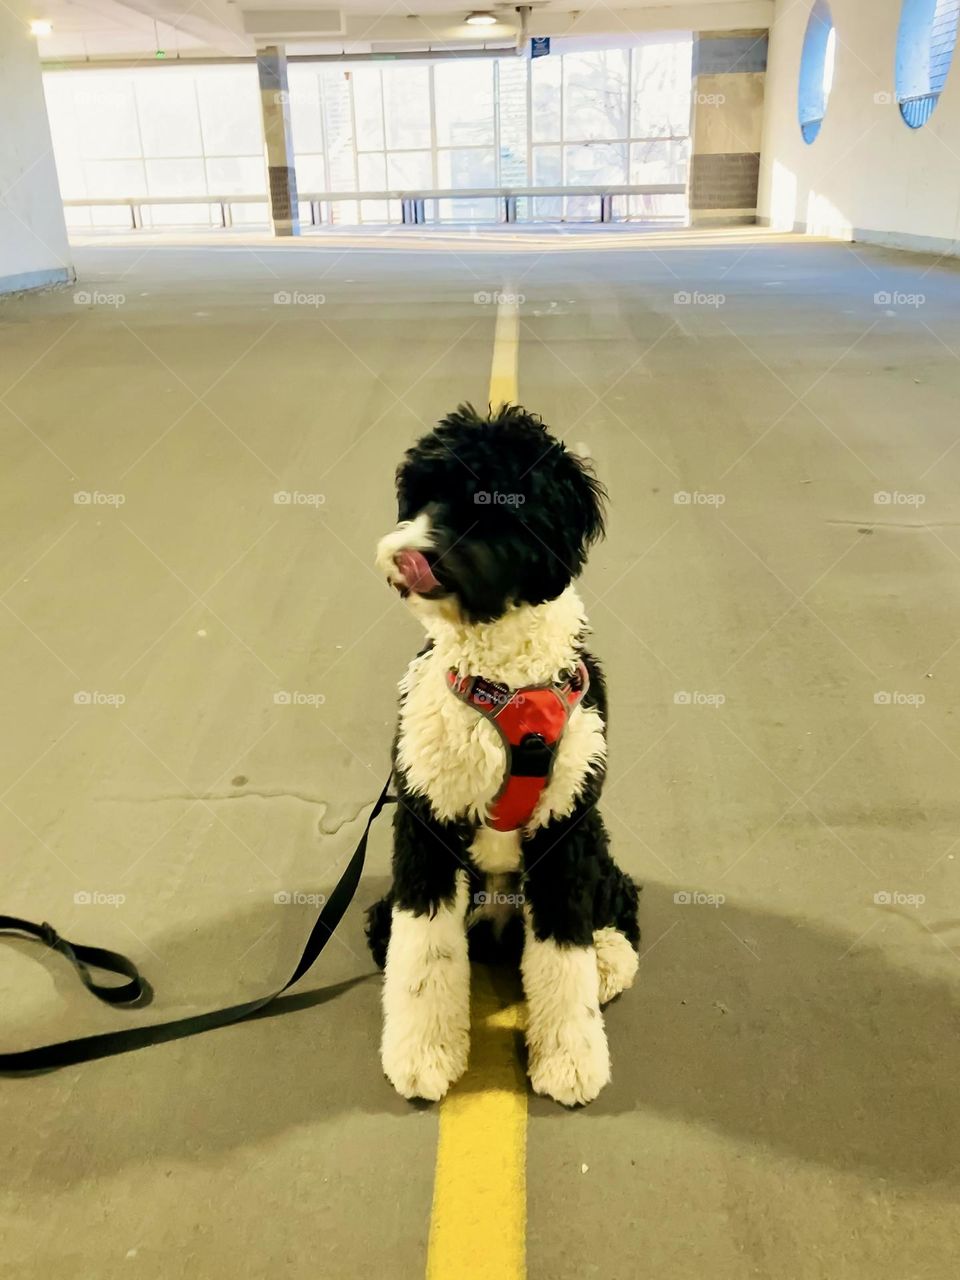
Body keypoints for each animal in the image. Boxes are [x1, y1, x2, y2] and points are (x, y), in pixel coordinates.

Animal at [363, 404, 642, 1105]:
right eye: (424, 495)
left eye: (492, 505)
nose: (409, 555)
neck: (503, 685)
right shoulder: (426, 823)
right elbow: (424, 954)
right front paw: (423, 1054)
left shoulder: (564, 829)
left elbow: (563, 954)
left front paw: (570, 1058)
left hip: (595, 842)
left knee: (619, 904)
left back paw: (608, 959)